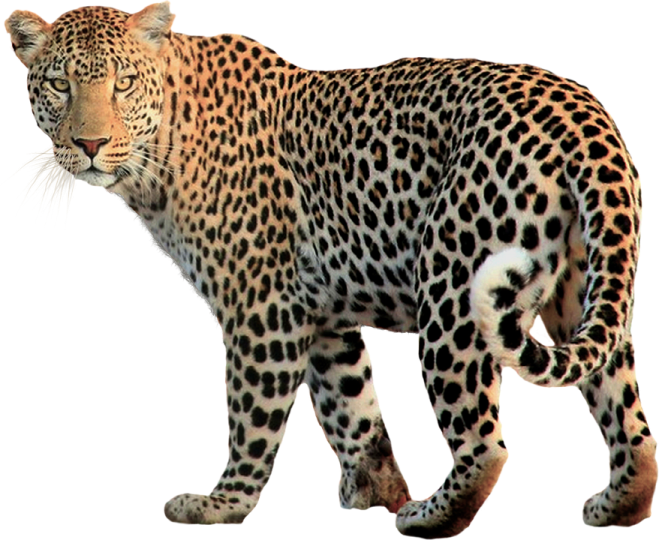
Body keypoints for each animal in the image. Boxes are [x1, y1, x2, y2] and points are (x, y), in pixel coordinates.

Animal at [4, 1, 657, 536]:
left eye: (123, 84)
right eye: (60, 85)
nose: (89, 145)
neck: (159, 153)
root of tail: (584, 115)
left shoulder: (261, 308)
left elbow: (252, 414)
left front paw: (223, 503)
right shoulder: (321, 317)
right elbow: (354, 411)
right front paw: (375, 492)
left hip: (453, 285)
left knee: (485, 441)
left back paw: (430, 517)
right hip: (585, 288)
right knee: (630, 420)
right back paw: (616, 505)